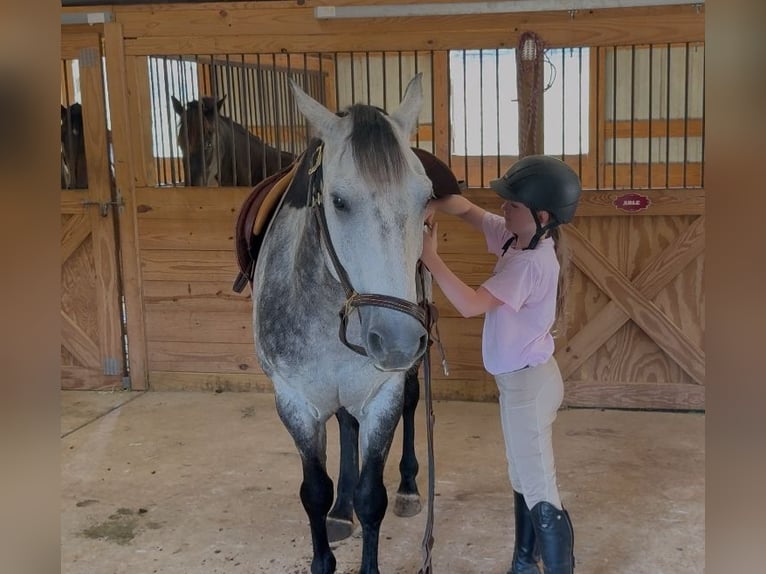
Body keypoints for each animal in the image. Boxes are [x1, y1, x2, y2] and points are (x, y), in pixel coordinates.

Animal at [252, 74, 434, 574]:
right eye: (338, 201)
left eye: (427, 197)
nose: (396, 341)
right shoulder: (295, 400)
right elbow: (314, 492)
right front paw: (328, 535)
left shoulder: (381, 395)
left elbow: (374, 498)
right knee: (345, 428)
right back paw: (340, 511)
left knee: (411, 402)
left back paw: (409, 486)